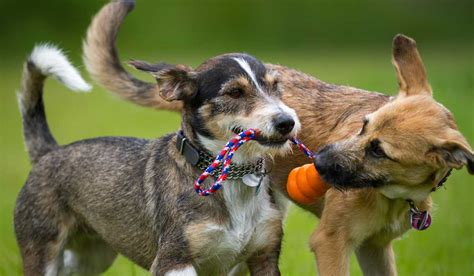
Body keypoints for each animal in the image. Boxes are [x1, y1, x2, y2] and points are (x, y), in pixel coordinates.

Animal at [14, 33, 300, 276]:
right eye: (235, 92)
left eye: (276, 87)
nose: (287, 122)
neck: (231, 177)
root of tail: (50, 152)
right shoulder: (173, 261)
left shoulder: (264, 256)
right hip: (42, 249)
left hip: (92, 255)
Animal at [83, 1, 472, 274]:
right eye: (362, 126)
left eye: (380, 151)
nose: (319, 160)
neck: (393, 195)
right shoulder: (331, 242)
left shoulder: (375, 249)